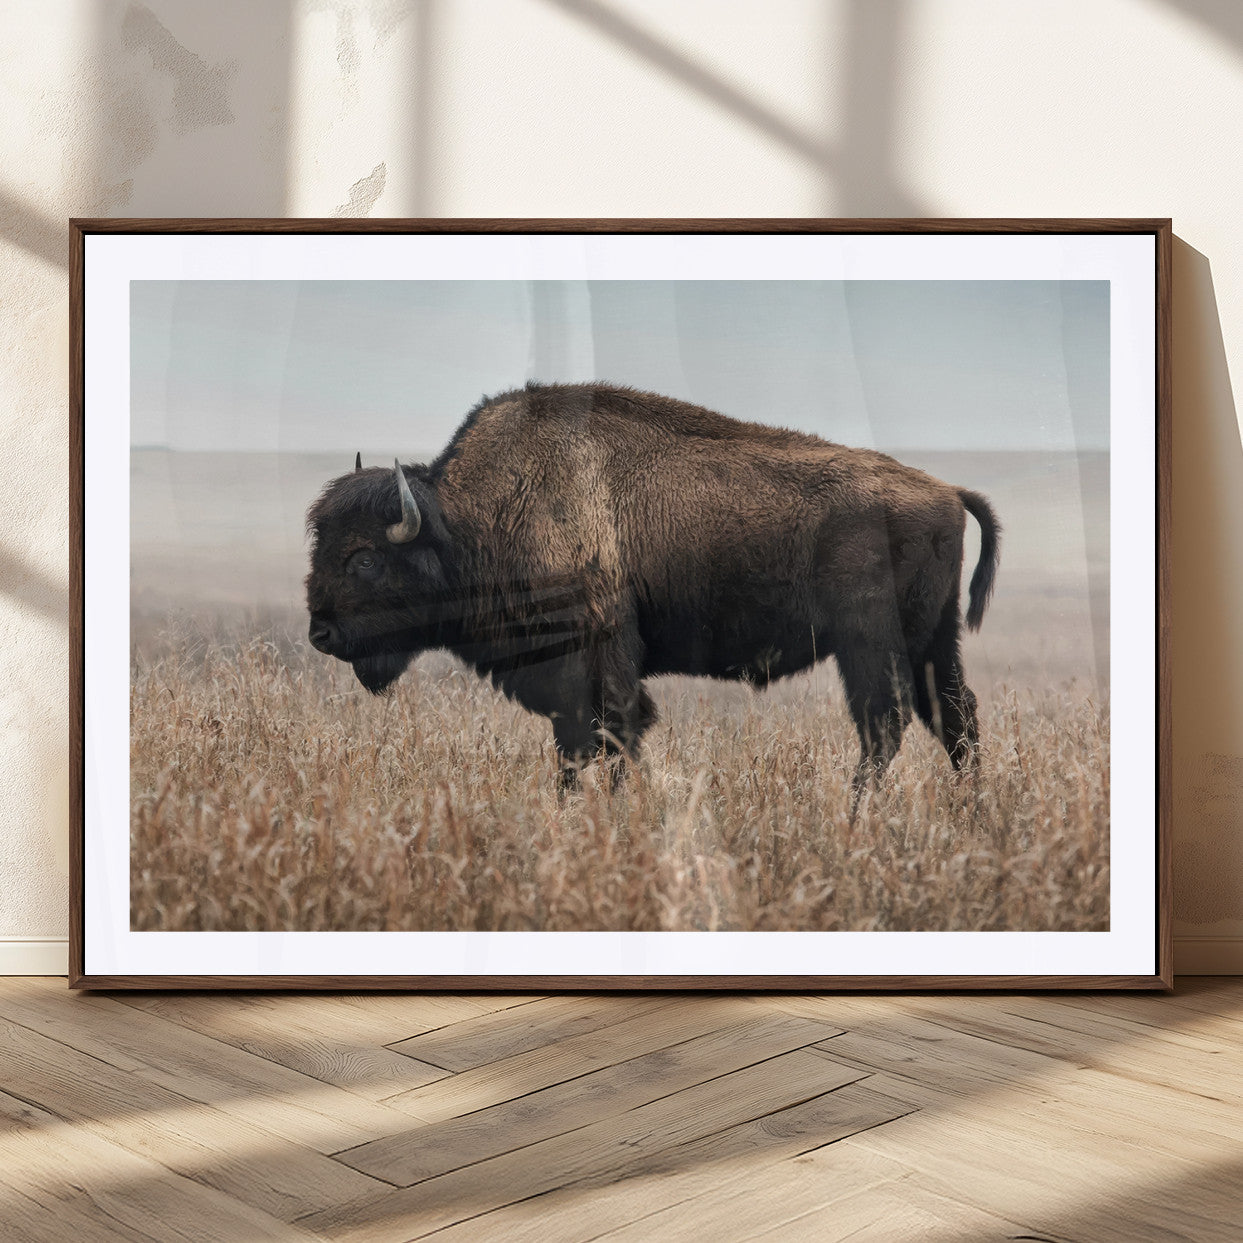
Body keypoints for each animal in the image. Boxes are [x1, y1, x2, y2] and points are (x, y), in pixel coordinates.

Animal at [305, 382, 999, 794]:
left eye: (364, 559)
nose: (320, 633)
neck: (469, 521)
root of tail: (945, 491)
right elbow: (579, 748)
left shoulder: (596, 660)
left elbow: (609, 736)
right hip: (932, 641)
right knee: (954, 718)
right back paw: (969, 815)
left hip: (870, 644)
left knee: (885, 724)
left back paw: (857, 816)